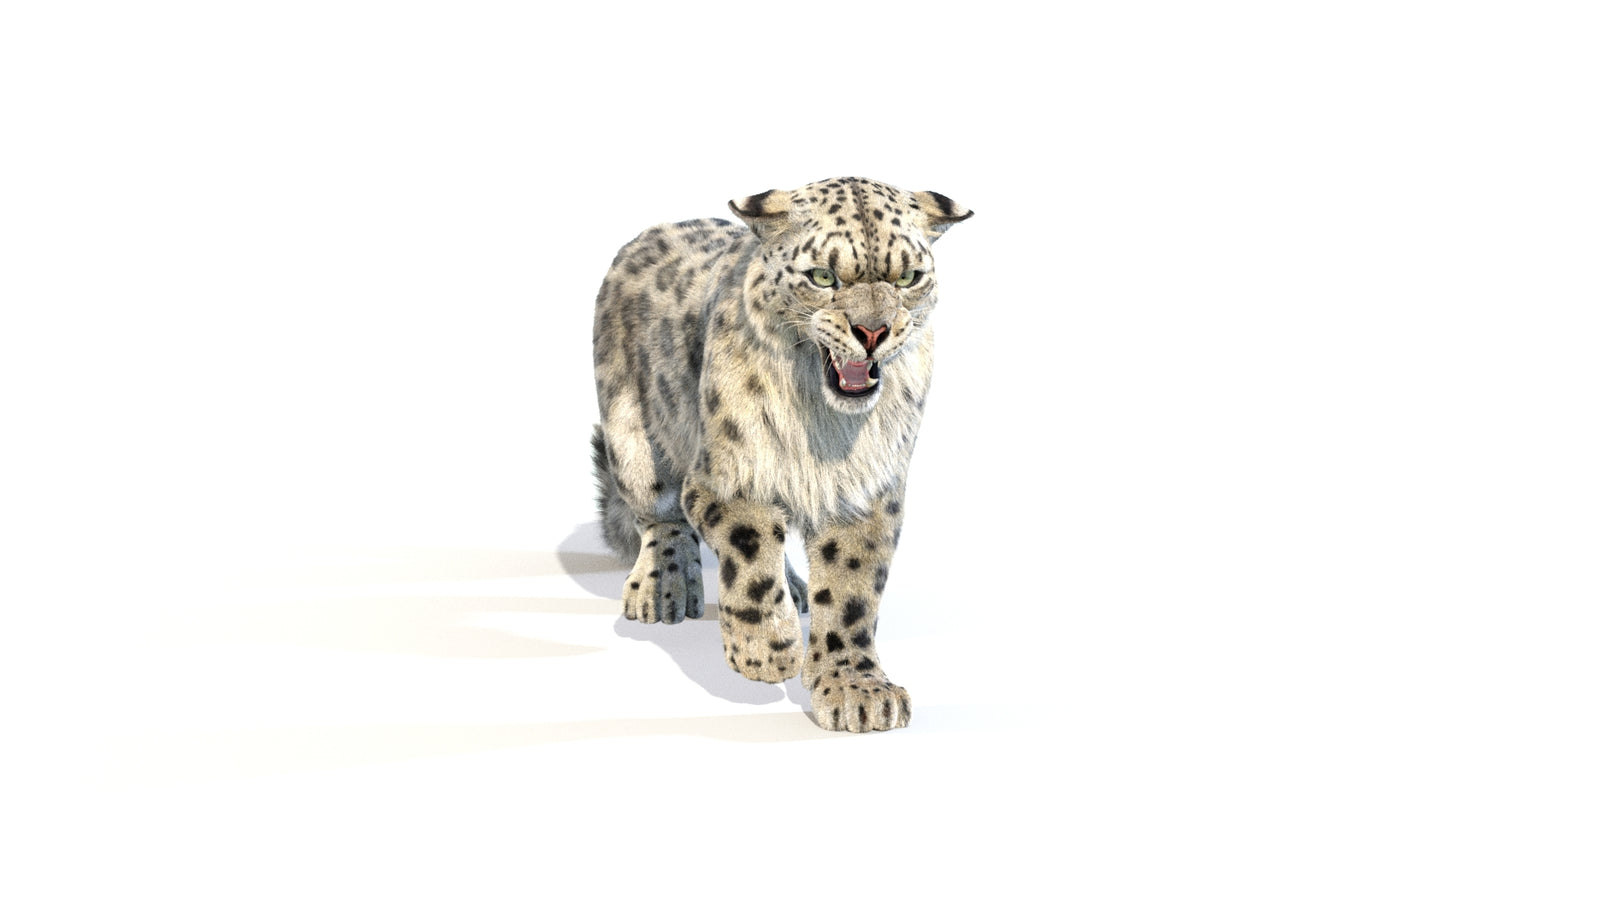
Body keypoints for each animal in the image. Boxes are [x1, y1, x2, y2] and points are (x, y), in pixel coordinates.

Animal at [589, 176, 972, 732]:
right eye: (823, 276)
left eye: (908, 278)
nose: (873, 332)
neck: (825, 429)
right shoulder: (729, 478)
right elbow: (750, 557)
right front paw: (767, 652)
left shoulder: (866, 491)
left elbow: (852, 589)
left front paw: (857, 689)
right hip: (631, 433)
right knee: (660, 515)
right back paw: (663, 591)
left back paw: (795, 589)